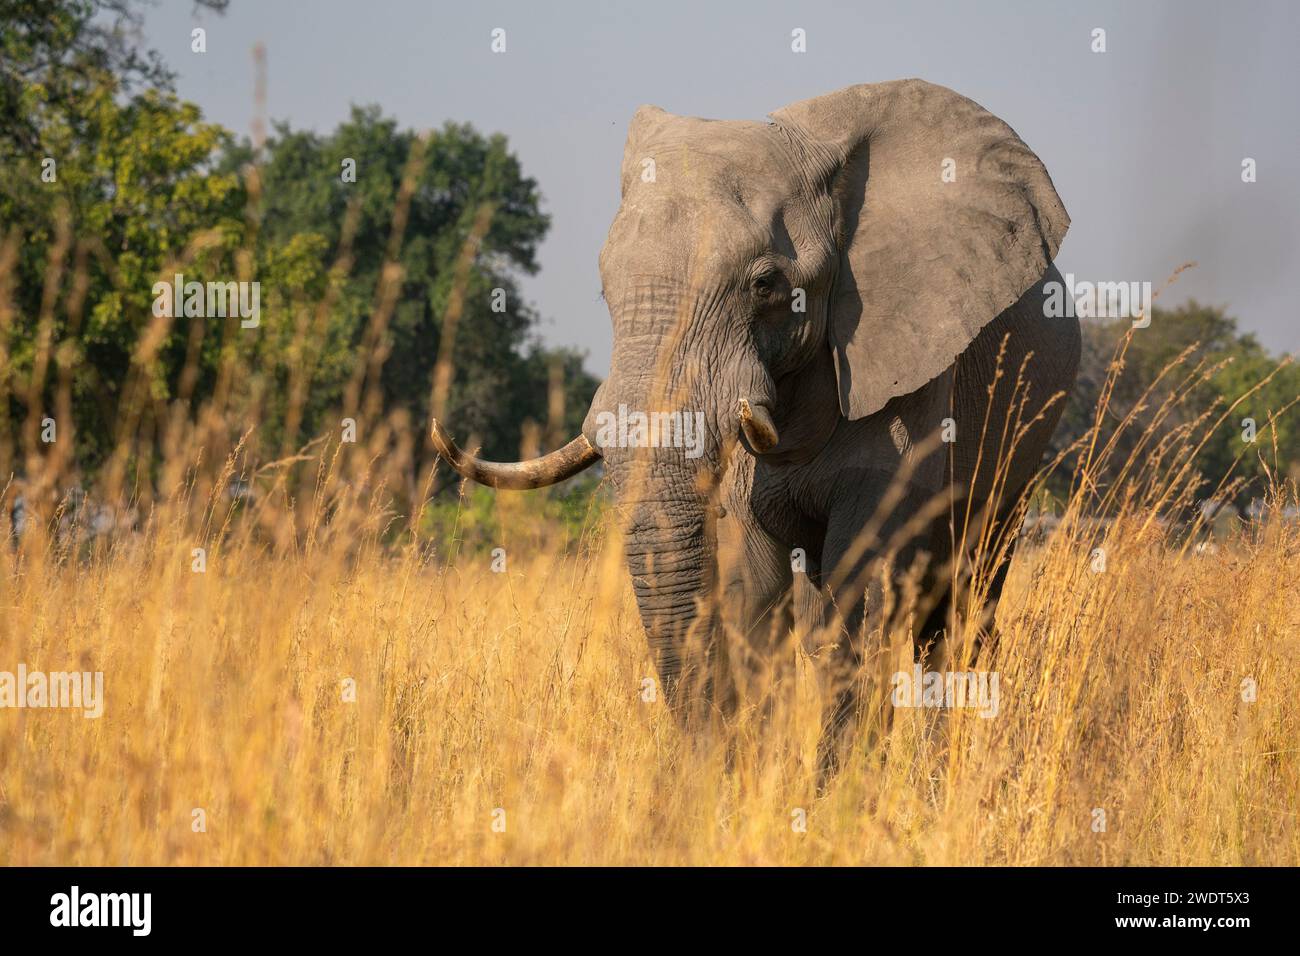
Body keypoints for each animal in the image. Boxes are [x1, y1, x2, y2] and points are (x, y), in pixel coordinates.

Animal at [431, 80, 1081, 785]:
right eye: (604, 290)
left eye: (767, 284)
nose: (703, 765)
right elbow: (756, 589)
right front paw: (755, 785)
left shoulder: (914, 366)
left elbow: (865, 588)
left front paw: (835, 795)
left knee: (961, 601)